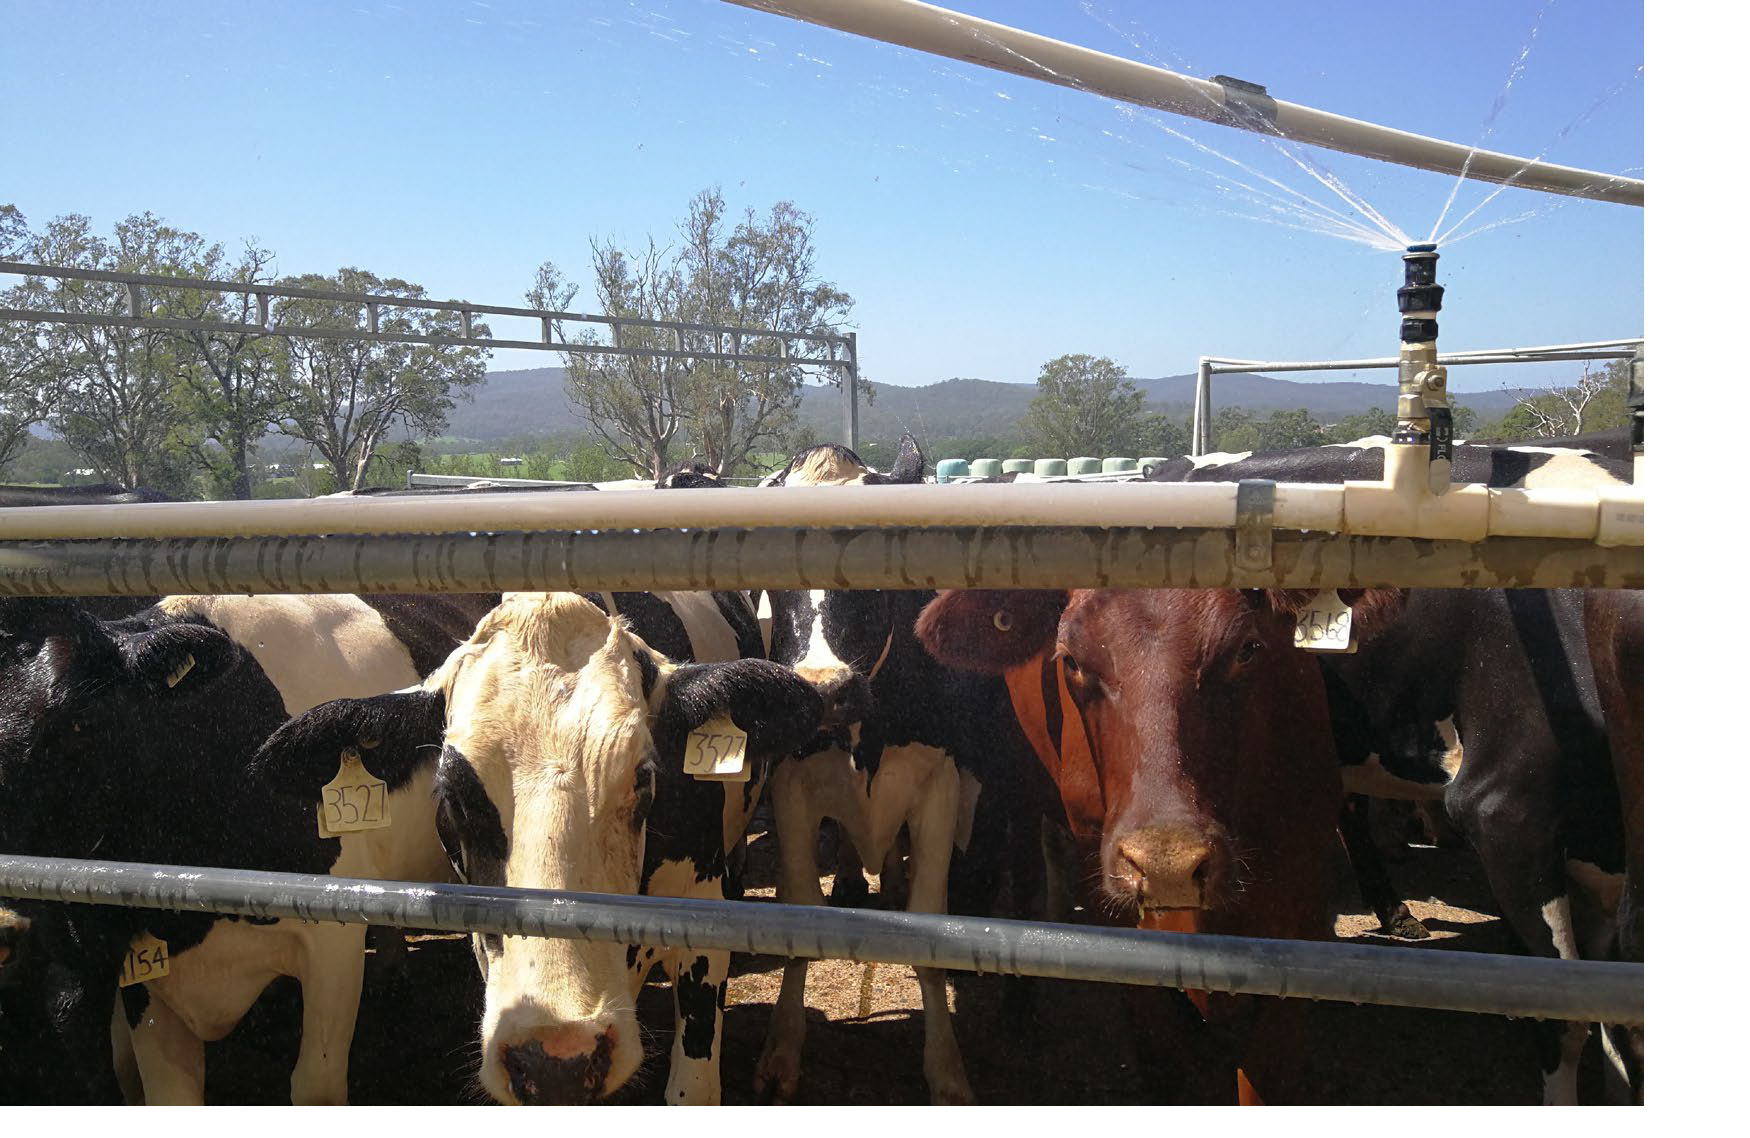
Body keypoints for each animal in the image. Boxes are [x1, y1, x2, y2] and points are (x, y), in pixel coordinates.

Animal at [749, 434, 1050, 1099]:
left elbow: (930, 924)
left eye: (877, 568)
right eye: (765, 571)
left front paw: (946, 1071)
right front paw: (781, 1051)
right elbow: (800, 911)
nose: (824, 688)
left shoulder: (938, 785)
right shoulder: (790, 783)